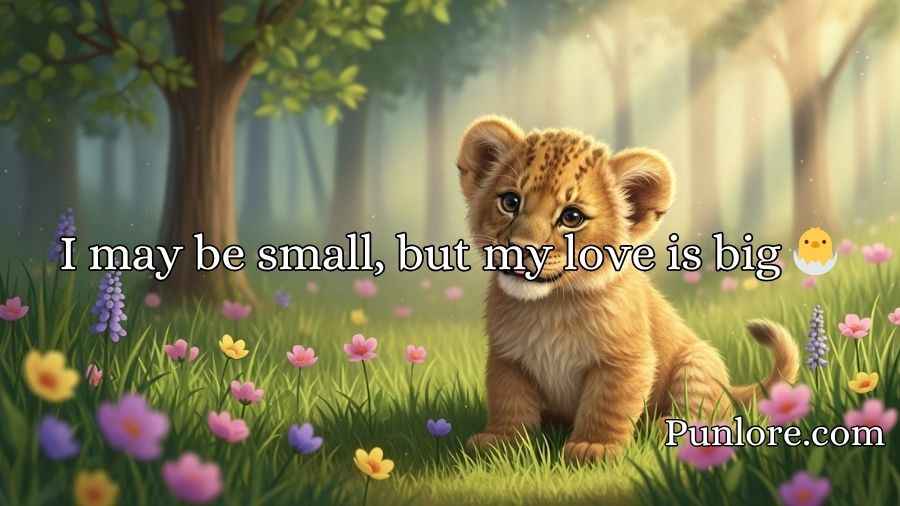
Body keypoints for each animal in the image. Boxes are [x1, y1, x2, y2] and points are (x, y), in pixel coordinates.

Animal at [455, 115, 799, 463]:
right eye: (510, 201)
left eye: (572, 217)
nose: (521, 248)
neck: (550, 306)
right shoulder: (508, 358)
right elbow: (508, 399)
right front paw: (502, 442)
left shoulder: (625, 360)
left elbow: (607, 403)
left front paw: (595, 446)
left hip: (697, 363)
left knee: (713, 416)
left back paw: (665, 429)